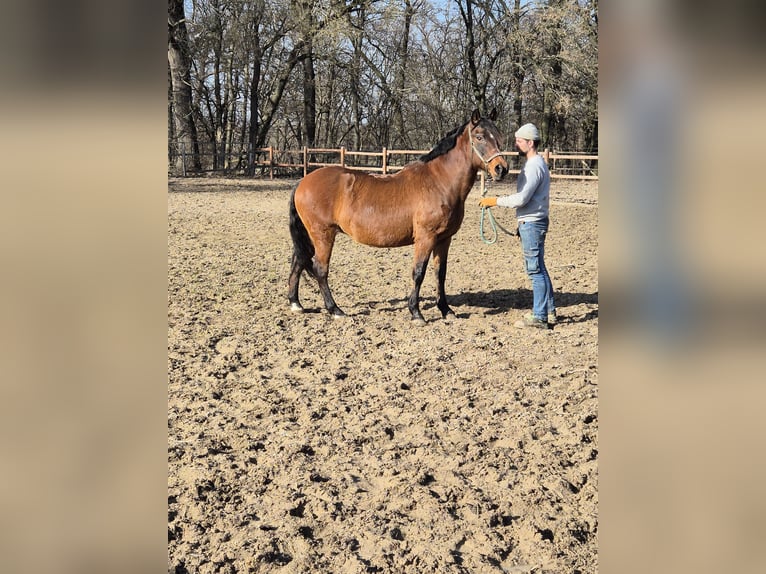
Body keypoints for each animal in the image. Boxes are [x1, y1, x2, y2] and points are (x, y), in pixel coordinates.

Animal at [288, 108, 508, 323]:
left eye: (499, 136)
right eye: (479, 137)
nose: (501, 169)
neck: (438, 182)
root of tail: (303, 181)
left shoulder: (444, 239)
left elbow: (440, 274)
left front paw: (446, 310)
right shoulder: (425, 238)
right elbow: (419, 273)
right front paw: (416, 313)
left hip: (311, 236)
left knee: (299, 261)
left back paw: (296, 303)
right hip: (323, 235)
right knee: (320, 269)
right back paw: (335, 310)